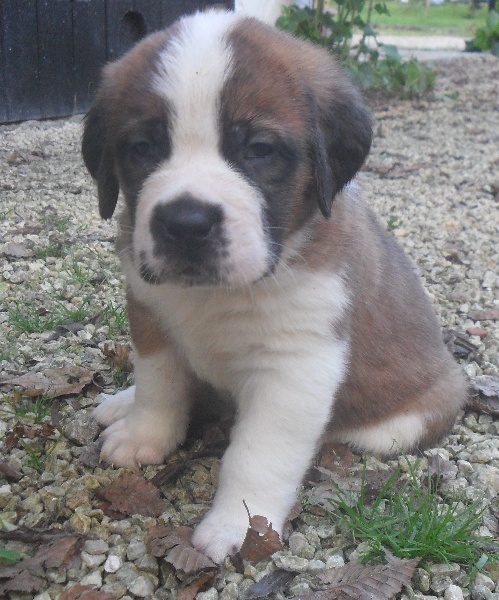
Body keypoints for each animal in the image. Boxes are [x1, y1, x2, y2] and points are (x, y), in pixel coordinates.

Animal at [82, 9, 467, 562]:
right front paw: (143, 433)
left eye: (259, 150)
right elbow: (159, 387)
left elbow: (257, 453)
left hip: (404, 419)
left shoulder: (295, 367)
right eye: (142, 148)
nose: (186, 224)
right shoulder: (150, 314)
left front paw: (238, 524)